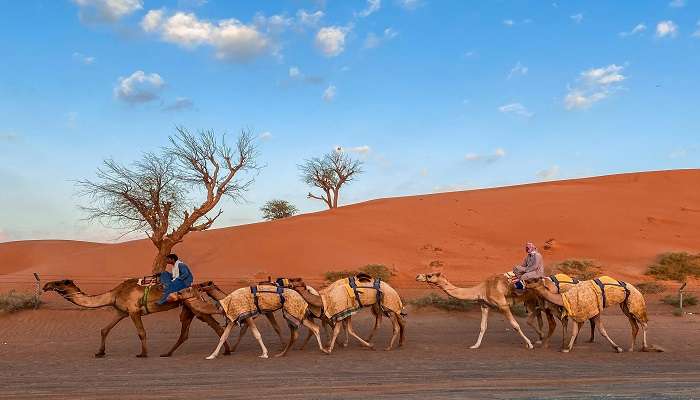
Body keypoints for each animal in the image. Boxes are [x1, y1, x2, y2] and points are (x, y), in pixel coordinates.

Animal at [45, 278, 234, 360]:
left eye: (59, 283)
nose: (46, 285)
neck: (113, 294)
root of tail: (196, 287)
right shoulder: (121, 312)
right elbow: (104, 329)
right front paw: (100, 352)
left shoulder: (134, 311)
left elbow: (141, 332)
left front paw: (143, 353)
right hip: (190, 309)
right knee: (193, 330)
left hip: (193, 305)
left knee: (214, 324)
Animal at [416, 272, 552, 350]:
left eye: (429, 275)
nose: (417, 276)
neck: (482, 289)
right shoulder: (485, 306)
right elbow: (482, 327)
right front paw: (475, 345)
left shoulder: (503, 305)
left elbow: (515, 325)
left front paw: (529, 344)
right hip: (532, 300)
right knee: (537, 315)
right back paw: (540, 338)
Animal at [528, 278, 664, 354]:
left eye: (535, 281)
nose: (525, 282)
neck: (565, 297)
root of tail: (637, 290)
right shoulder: (578, 312)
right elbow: (575, 331)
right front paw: (567, 348)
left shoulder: (595, 311)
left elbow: (602, 330)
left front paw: (617, 348)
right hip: (626, 306)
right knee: (634, 326)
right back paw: (631, 348)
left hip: (635, 303)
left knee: (644, 324)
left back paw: (645, 347)